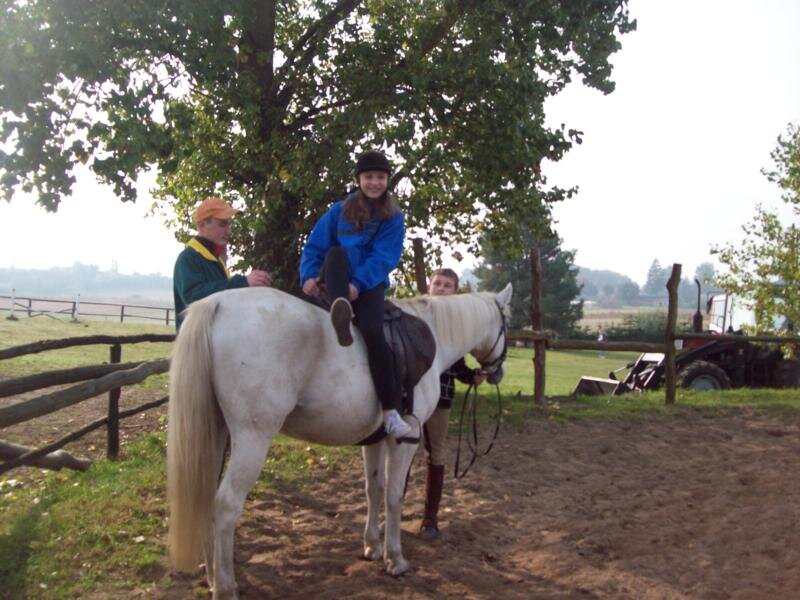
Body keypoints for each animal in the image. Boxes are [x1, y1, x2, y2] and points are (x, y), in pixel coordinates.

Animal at [166, 283, 512, 599]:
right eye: (508, 321)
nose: (496, 373)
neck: (434, 335)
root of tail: (218, 303)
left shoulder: (375, 438)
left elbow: (374, 489)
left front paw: (372, 546)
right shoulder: (406, 438)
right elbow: (395, 496)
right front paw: (395, 558)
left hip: (217, 432)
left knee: (207, 496)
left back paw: (213, 576)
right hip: (253, 438)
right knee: (225, 505)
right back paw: (225, 587)